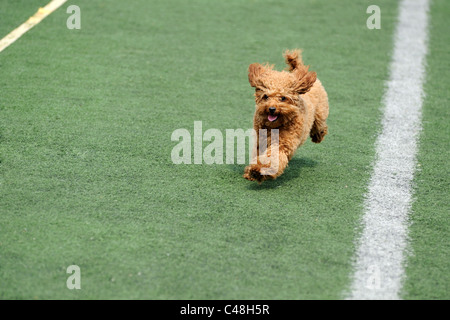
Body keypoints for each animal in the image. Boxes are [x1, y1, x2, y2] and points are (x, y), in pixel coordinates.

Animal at [244, 49, 328, 182]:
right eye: (265, 96)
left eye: (283, 98)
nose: (271, 109)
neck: (274, 126)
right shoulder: (260, 140)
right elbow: (257, 154)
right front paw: (251, 172)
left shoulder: (283, 144)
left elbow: (272, 157)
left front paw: (259, 171)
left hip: (321, 110)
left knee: (320, 124)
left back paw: (318, 135)